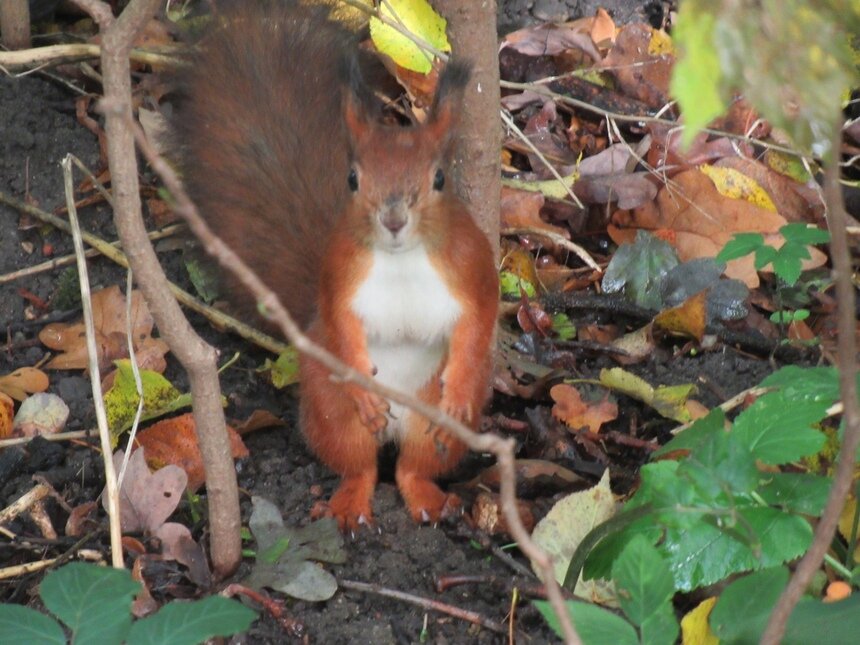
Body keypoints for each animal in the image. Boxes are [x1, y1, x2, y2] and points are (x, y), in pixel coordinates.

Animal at [175, 3, 498, 528]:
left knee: (411, 468)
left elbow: (479, 323)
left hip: (429, 423)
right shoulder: (339, 273)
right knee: (359, 466)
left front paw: (460, 389)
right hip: (331, 410)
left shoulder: (473, 267)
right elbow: (342, 324)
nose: (392, 219)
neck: (401, 260)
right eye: (352, 178)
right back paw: (350, 505)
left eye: (439, 179)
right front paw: (362, 386)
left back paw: (428, 500)